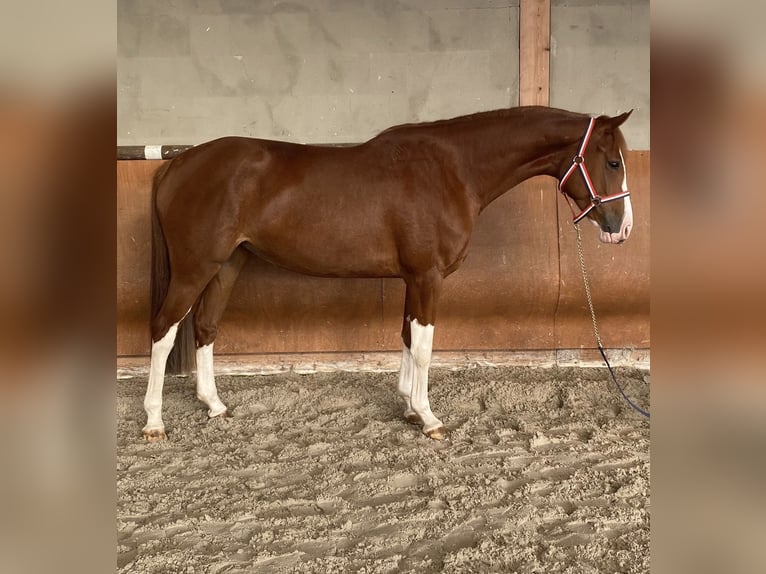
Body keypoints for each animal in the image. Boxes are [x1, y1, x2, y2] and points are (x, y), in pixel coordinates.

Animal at [144, 106, 636, 444]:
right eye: (612, 162)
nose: (623, 228)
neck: (452, 169)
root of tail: (177, 163)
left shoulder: (412, 279)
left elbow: (405, 336)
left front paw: (409, 407)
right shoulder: (428, 277)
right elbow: (424, 347)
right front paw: (429, 417)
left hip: (227, 265)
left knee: (205, 327)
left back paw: (215, 405)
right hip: (195, 268)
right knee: (164, 330)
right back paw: (154, 421)